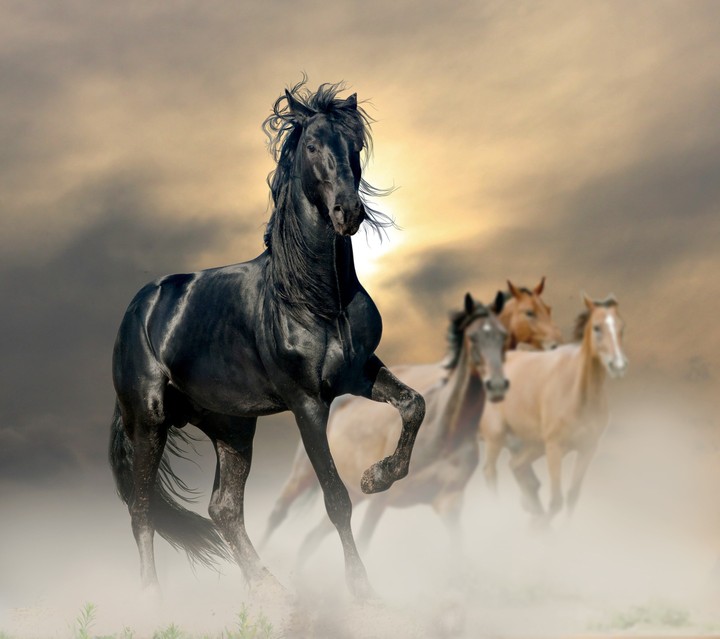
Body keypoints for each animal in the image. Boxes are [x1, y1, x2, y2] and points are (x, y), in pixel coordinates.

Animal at [108, 81, 426, 600]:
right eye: (313, 145)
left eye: (355, 145)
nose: (348, 212)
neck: (314, 298)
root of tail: (139, 308)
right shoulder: (307, 403)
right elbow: (335, 498)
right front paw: (361, 589)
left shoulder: (360, 373)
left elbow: (413, 404)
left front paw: (377, 476)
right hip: (149, 422)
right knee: (142, 512)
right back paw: (153, 601)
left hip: (232, 427)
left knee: (224, 509)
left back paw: (270, 590)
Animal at [261, 293, 509, 557]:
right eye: (473, 337)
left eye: (503, 335)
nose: (497, 385)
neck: (446, 432)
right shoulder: (380, 501)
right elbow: (365, 540)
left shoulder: (449, 504)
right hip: (303, 475)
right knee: (277, 515)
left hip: (354, 493)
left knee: (314, 536)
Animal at [480, 294, 628, 522]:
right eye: (597, 327)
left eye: (621, 327)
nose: (618, 365)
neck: (579, 395)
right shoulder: (554, 448)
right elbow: (556, 501)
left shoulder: (588, 448)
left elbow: (572, 497)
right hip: (496, 437)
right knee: (490, 472)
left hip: (531, 444)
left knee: (518, 468)